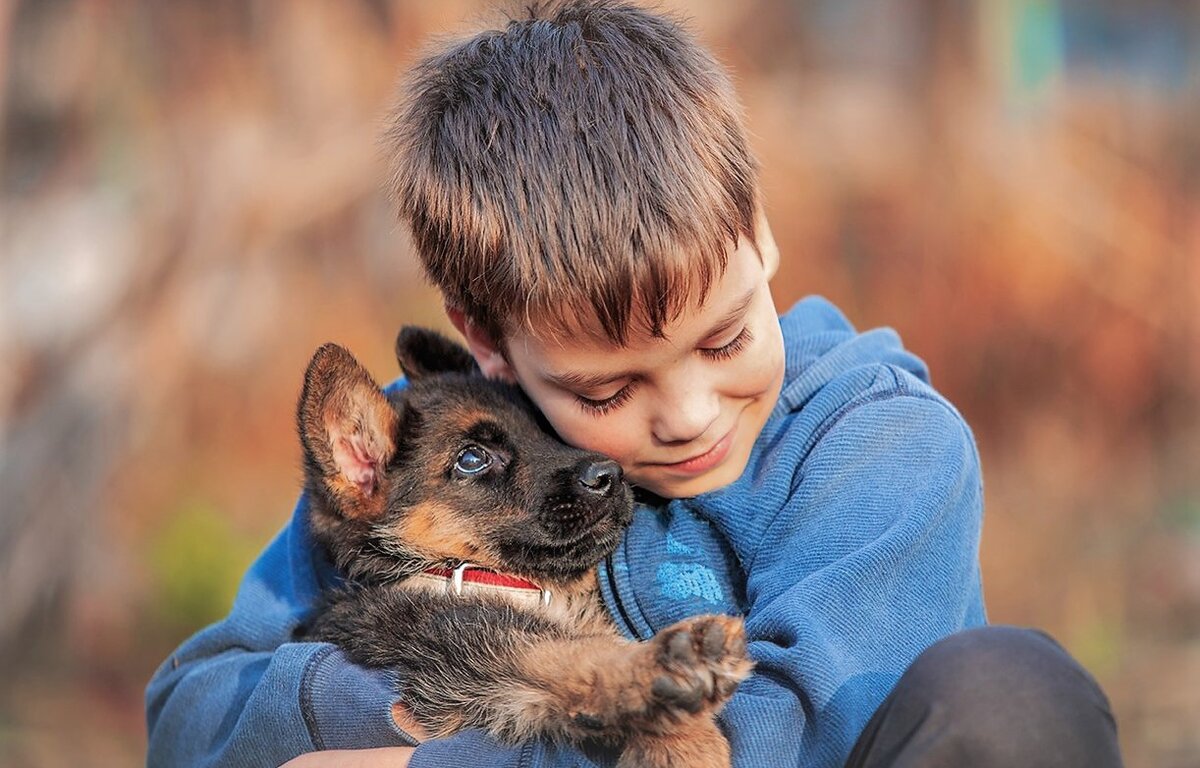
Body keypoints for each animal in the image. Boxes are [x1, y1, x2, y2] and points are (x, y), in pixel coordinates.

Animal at [295, 328, 748, 768]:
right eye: (472, 459)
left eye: (545, 429)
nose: (610, 475)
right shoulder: (461, 644)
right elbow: (572, 652)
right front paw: (676, 672)